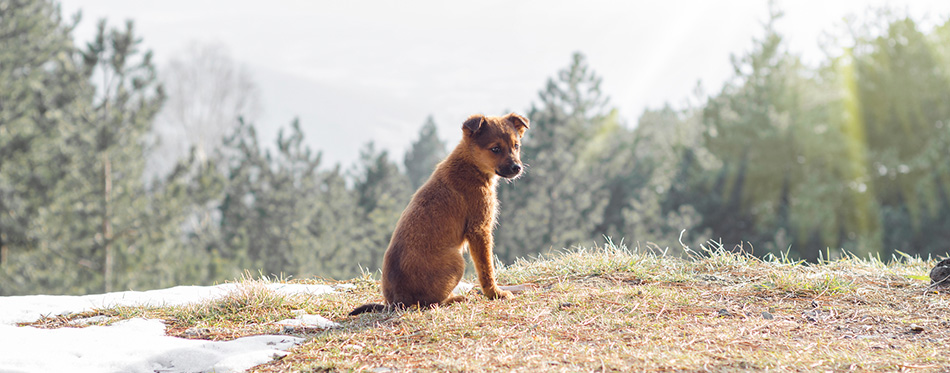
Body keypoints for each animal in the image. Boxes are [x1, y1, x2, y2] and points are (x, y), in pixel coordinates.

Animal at [350, 113, 528, 314]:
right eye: (495, 148)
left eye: (516, 146)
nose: (517, 168)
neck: (470, 164)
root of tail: (396, 302)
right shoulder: (479, 229)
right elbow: (486, 269)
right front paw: (495, 293)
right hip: (456, 261)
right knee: (431, 302)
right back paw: (456, 299)